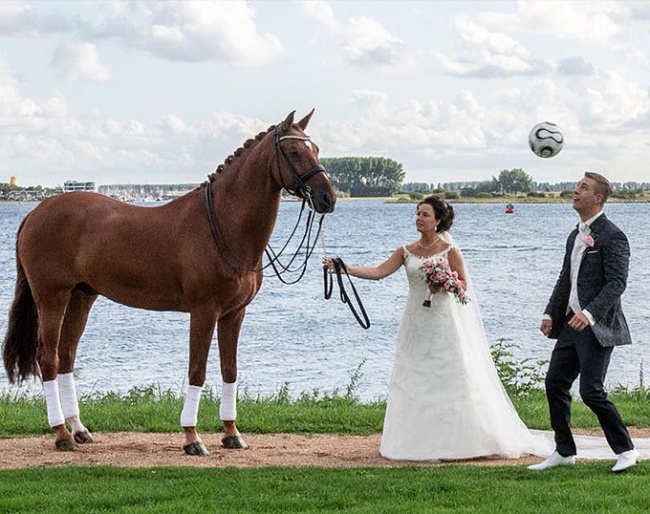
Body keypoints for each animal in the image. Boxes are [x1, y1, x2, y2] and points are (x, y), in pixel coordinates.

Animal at [5, 111, 336, 452]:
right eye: (294, 151)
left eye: (316, 149)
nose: (328, 197)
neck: (222, 223)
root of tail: (34, 213)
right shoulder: (204, 311)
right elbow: (197, 371)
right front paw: (192, 438)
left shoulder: (234, 314)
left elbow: (229, 370)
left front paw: (231, 433)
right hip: (52, 297)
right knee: (48, 359)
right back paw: (61, 434)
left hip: (81, 297)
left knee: (66, 357)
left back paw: (79, 429)